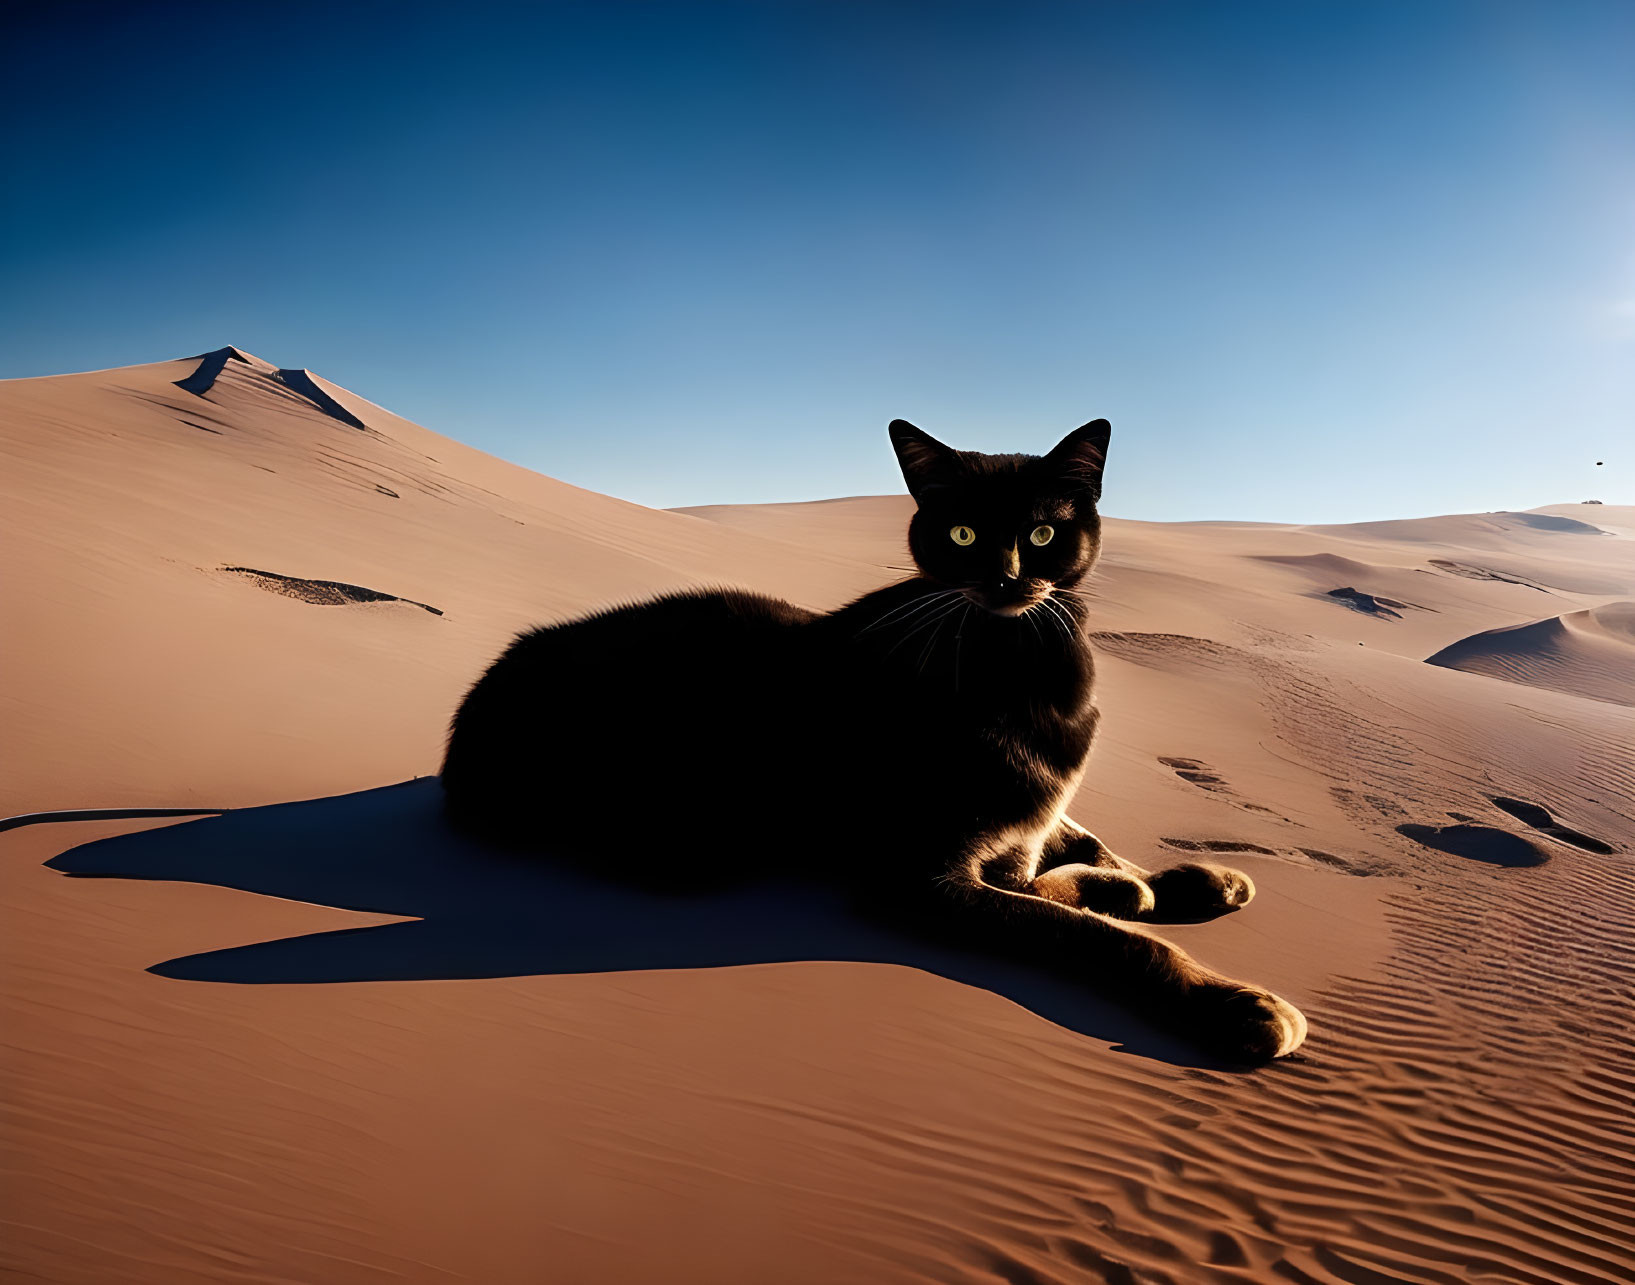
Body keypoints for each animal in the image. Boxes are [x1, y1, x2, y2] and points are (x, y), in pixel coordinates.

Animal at [441, 415, 1308, 1059]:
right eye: (961, 534)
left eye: (1040, 533)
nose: (1003, 577)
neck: (1018, 657)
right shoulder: (914, 875)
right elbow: (1076, 927)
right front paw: (1225, 997)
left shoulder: (1023, 817)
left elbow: (1074, 840)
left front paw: (1171, 879)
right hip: (687, 831)